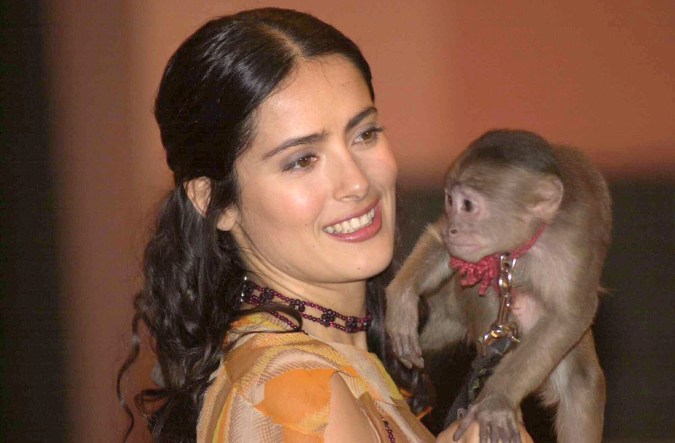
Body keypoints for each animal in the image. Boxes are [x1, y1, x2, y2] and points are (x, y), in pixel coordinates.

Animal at [386, 129, 610, 443]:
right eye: (450, 200)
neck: (527, 244)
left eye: (468, 205)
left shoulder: (578, 237)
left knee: (580, 379)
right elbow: (441, 242)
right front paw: (402, 296)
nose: (454, 228)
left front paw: (497, 400)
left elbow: (569, 316)